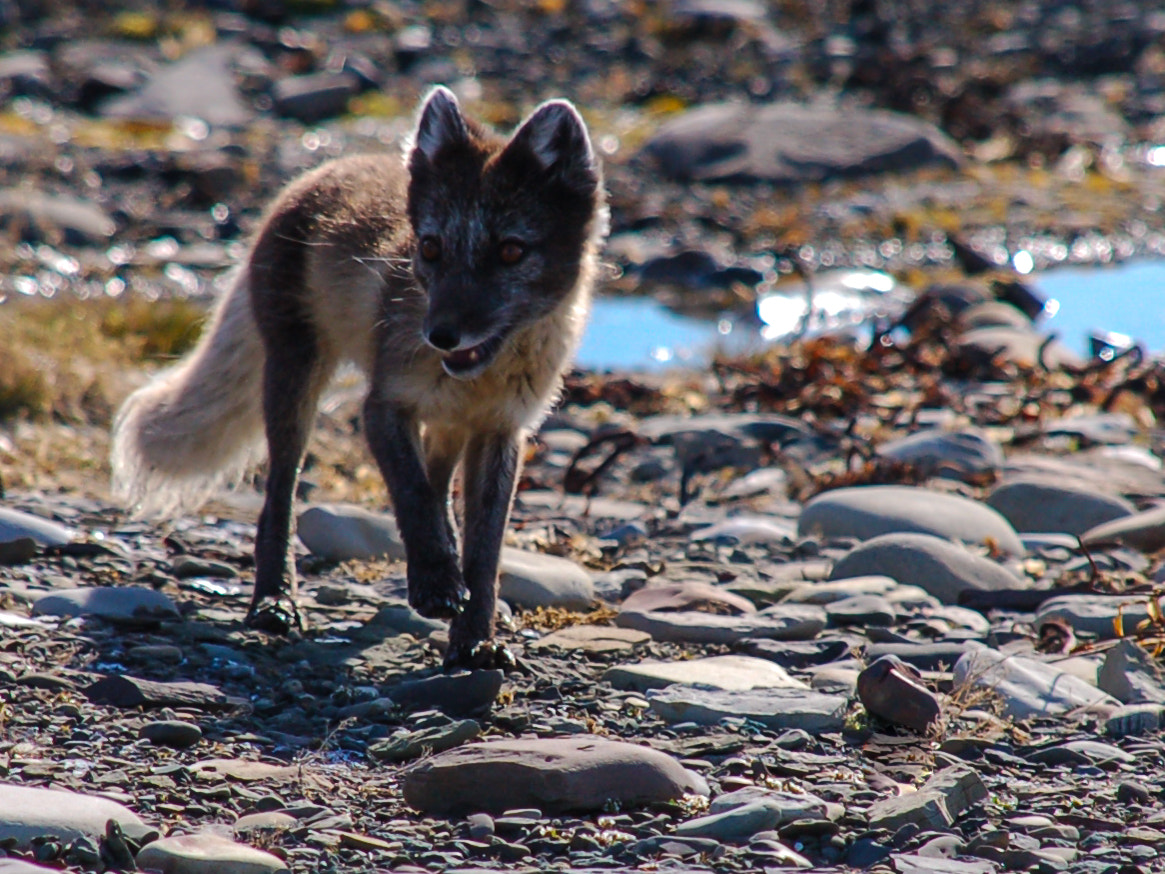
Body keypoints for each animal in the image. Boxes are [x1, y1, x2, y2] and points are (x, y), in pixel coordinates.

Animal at [111, 87, 608, 668]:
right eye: (431, 247)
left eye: (511, 250)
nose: (441, 335)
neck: (478, 378)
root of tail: (319, 172)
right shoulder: (383, 407)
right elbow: (412, 496)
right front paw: (437, 585)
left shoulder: (501, 431)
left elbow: (482, 548)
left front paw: (474, 639)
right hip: (296, 384)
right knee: (280, 498)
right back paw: (274, 602)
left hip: (441, 428)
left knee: (437, 485)